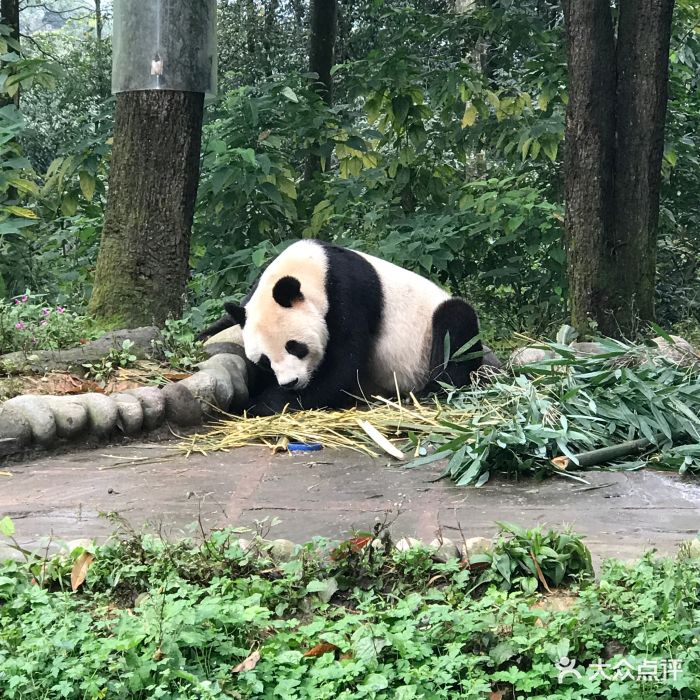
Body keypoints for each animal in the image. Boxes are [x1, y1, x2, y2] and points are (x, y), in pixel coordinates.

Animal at [200, 241, 490, 416]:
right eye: (264, 361)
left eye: (295, 347)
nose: (291, 383)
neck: (313, 265)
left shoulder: (349, 296)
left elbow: (340, 369)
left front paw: (258, 405)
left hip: (428, 332)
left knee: (456, 326)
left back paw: (428, 390)